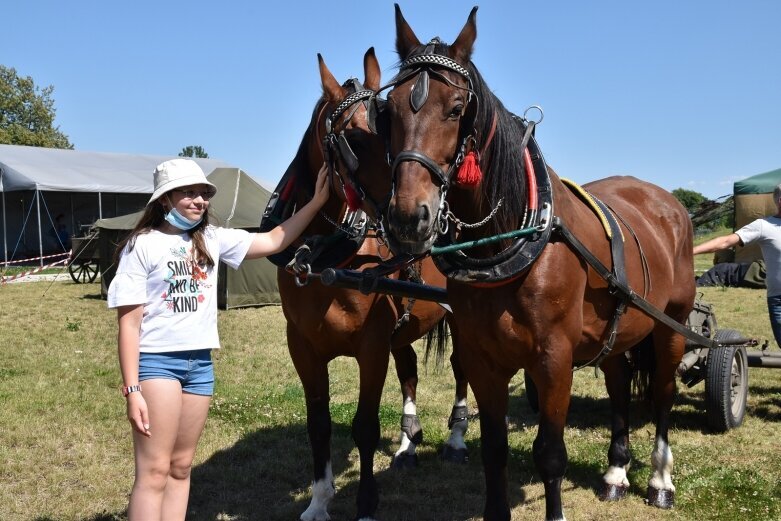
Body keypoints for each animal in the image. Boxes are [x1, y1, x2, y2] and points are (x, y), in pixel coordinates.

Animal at [262, 47, 470, 516]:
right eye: (354, 140)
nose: (406, 218)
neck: (326, 258)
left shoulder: (371, 348)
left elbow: (365, 427)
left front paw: (366, 504)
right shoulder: (303, 348)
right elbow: (319, 425)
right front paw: (319, 500)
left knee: (461, 368)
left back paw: (455, 438)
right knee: (410, 372)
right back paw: (408, 446)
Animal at [380, 7, 692, 520]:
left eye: (456, 108)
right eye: (389, 110)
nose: (409, 216)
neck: (506, 246)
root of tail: (666, 201)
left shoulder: (553, 360)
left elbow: (550, 453)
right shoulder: (483, 358)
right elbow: (494, 450)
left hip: (673, 324)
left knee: (663, 393)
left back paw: (659, 480)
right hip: (617, 330)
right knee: (620, 385)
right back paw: (616, 472)